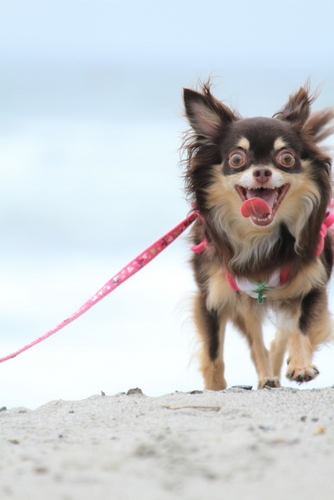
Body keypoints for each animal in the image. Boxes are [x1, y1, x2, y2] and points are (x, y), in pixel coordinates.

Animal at [183, 80, 334, 388]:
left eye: (286, 158)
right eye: (236, 159)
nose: (262, 171)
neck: (258, 236)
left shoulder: (312, 283)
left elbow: (302, 326)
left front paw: (301, 366)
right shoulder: (213, 294)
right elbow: (214, 353)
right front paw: (214, 389)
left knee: (280, 336)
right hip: (244, 302)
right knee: (256, 343)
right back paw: (267, 377)